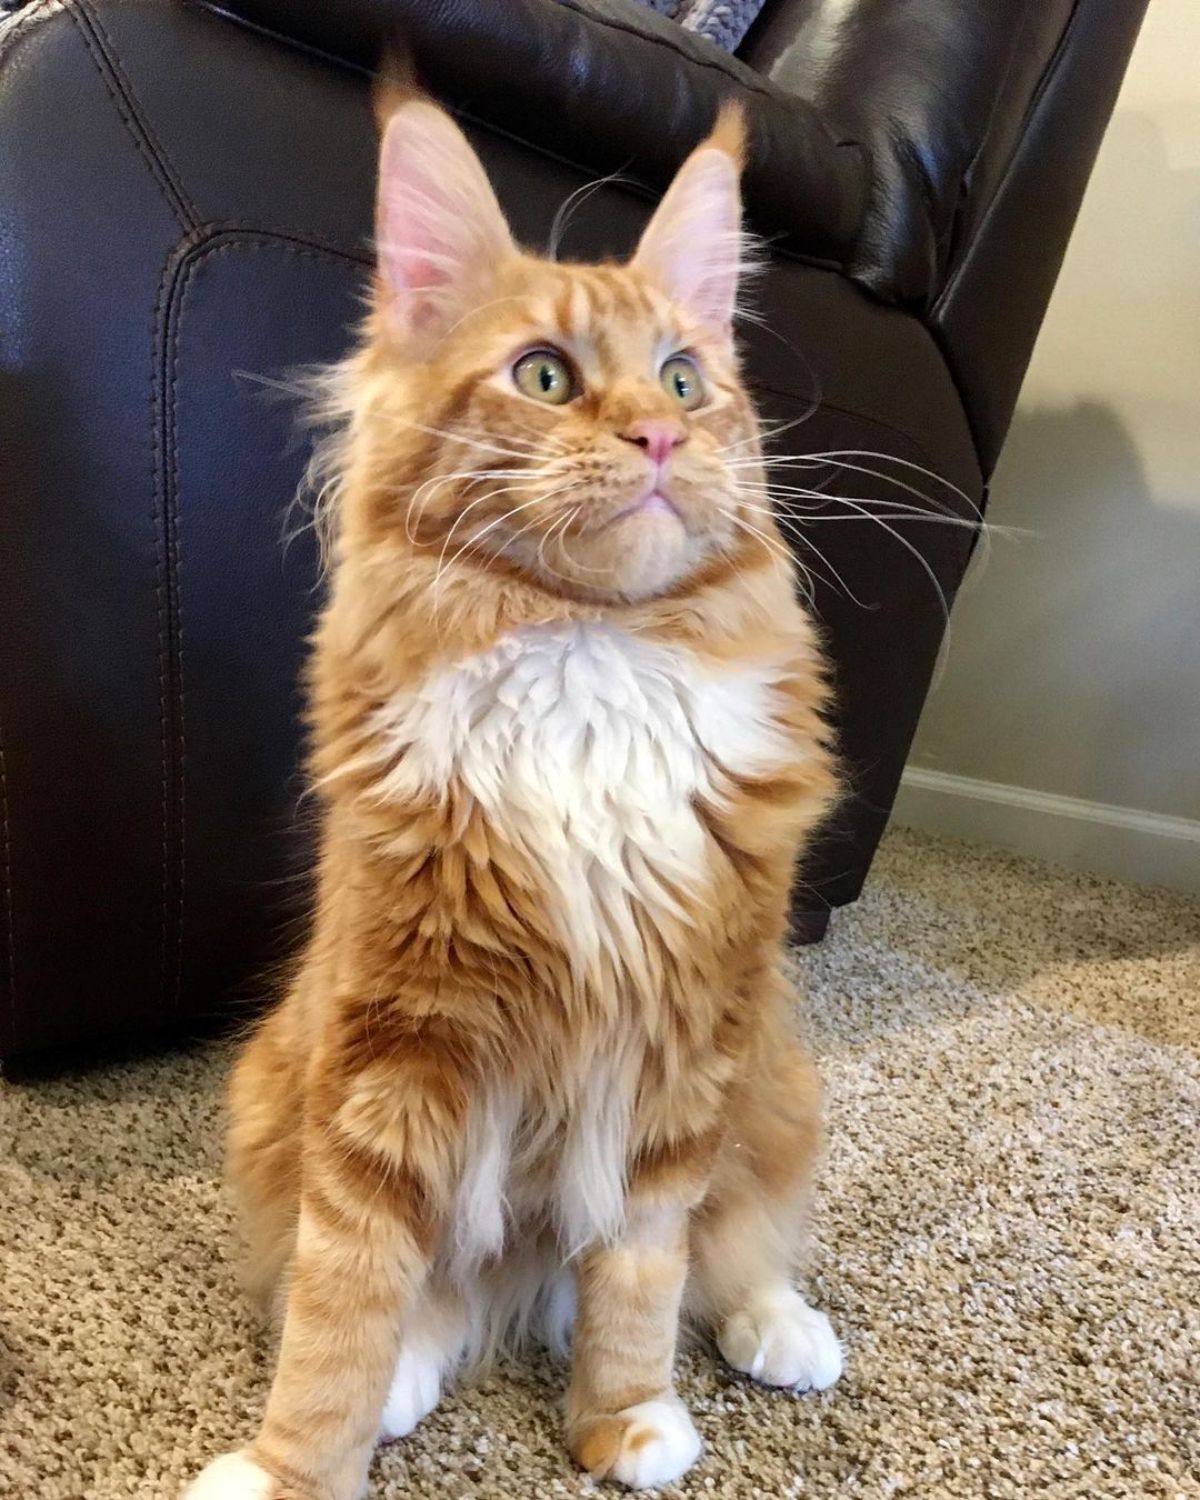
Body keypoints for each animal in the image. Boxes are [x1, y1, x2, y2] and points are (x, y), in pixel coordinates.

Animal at [185, 87, 846, 1494]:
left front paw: (625, 1417)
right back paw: (410, 1376)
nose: (659, 434)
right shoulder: (394, 1036)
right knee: (428, 1291)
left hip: (774, 1076)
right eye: (545, 375)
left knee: (742, 1241)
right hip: (276, 1083)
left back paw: (784, 1328)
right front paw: (293, 1464)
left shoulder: (686, 1047)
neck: (586, 651)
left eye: (685, 380)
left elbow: (647, 1266)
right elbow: (344, 1293)